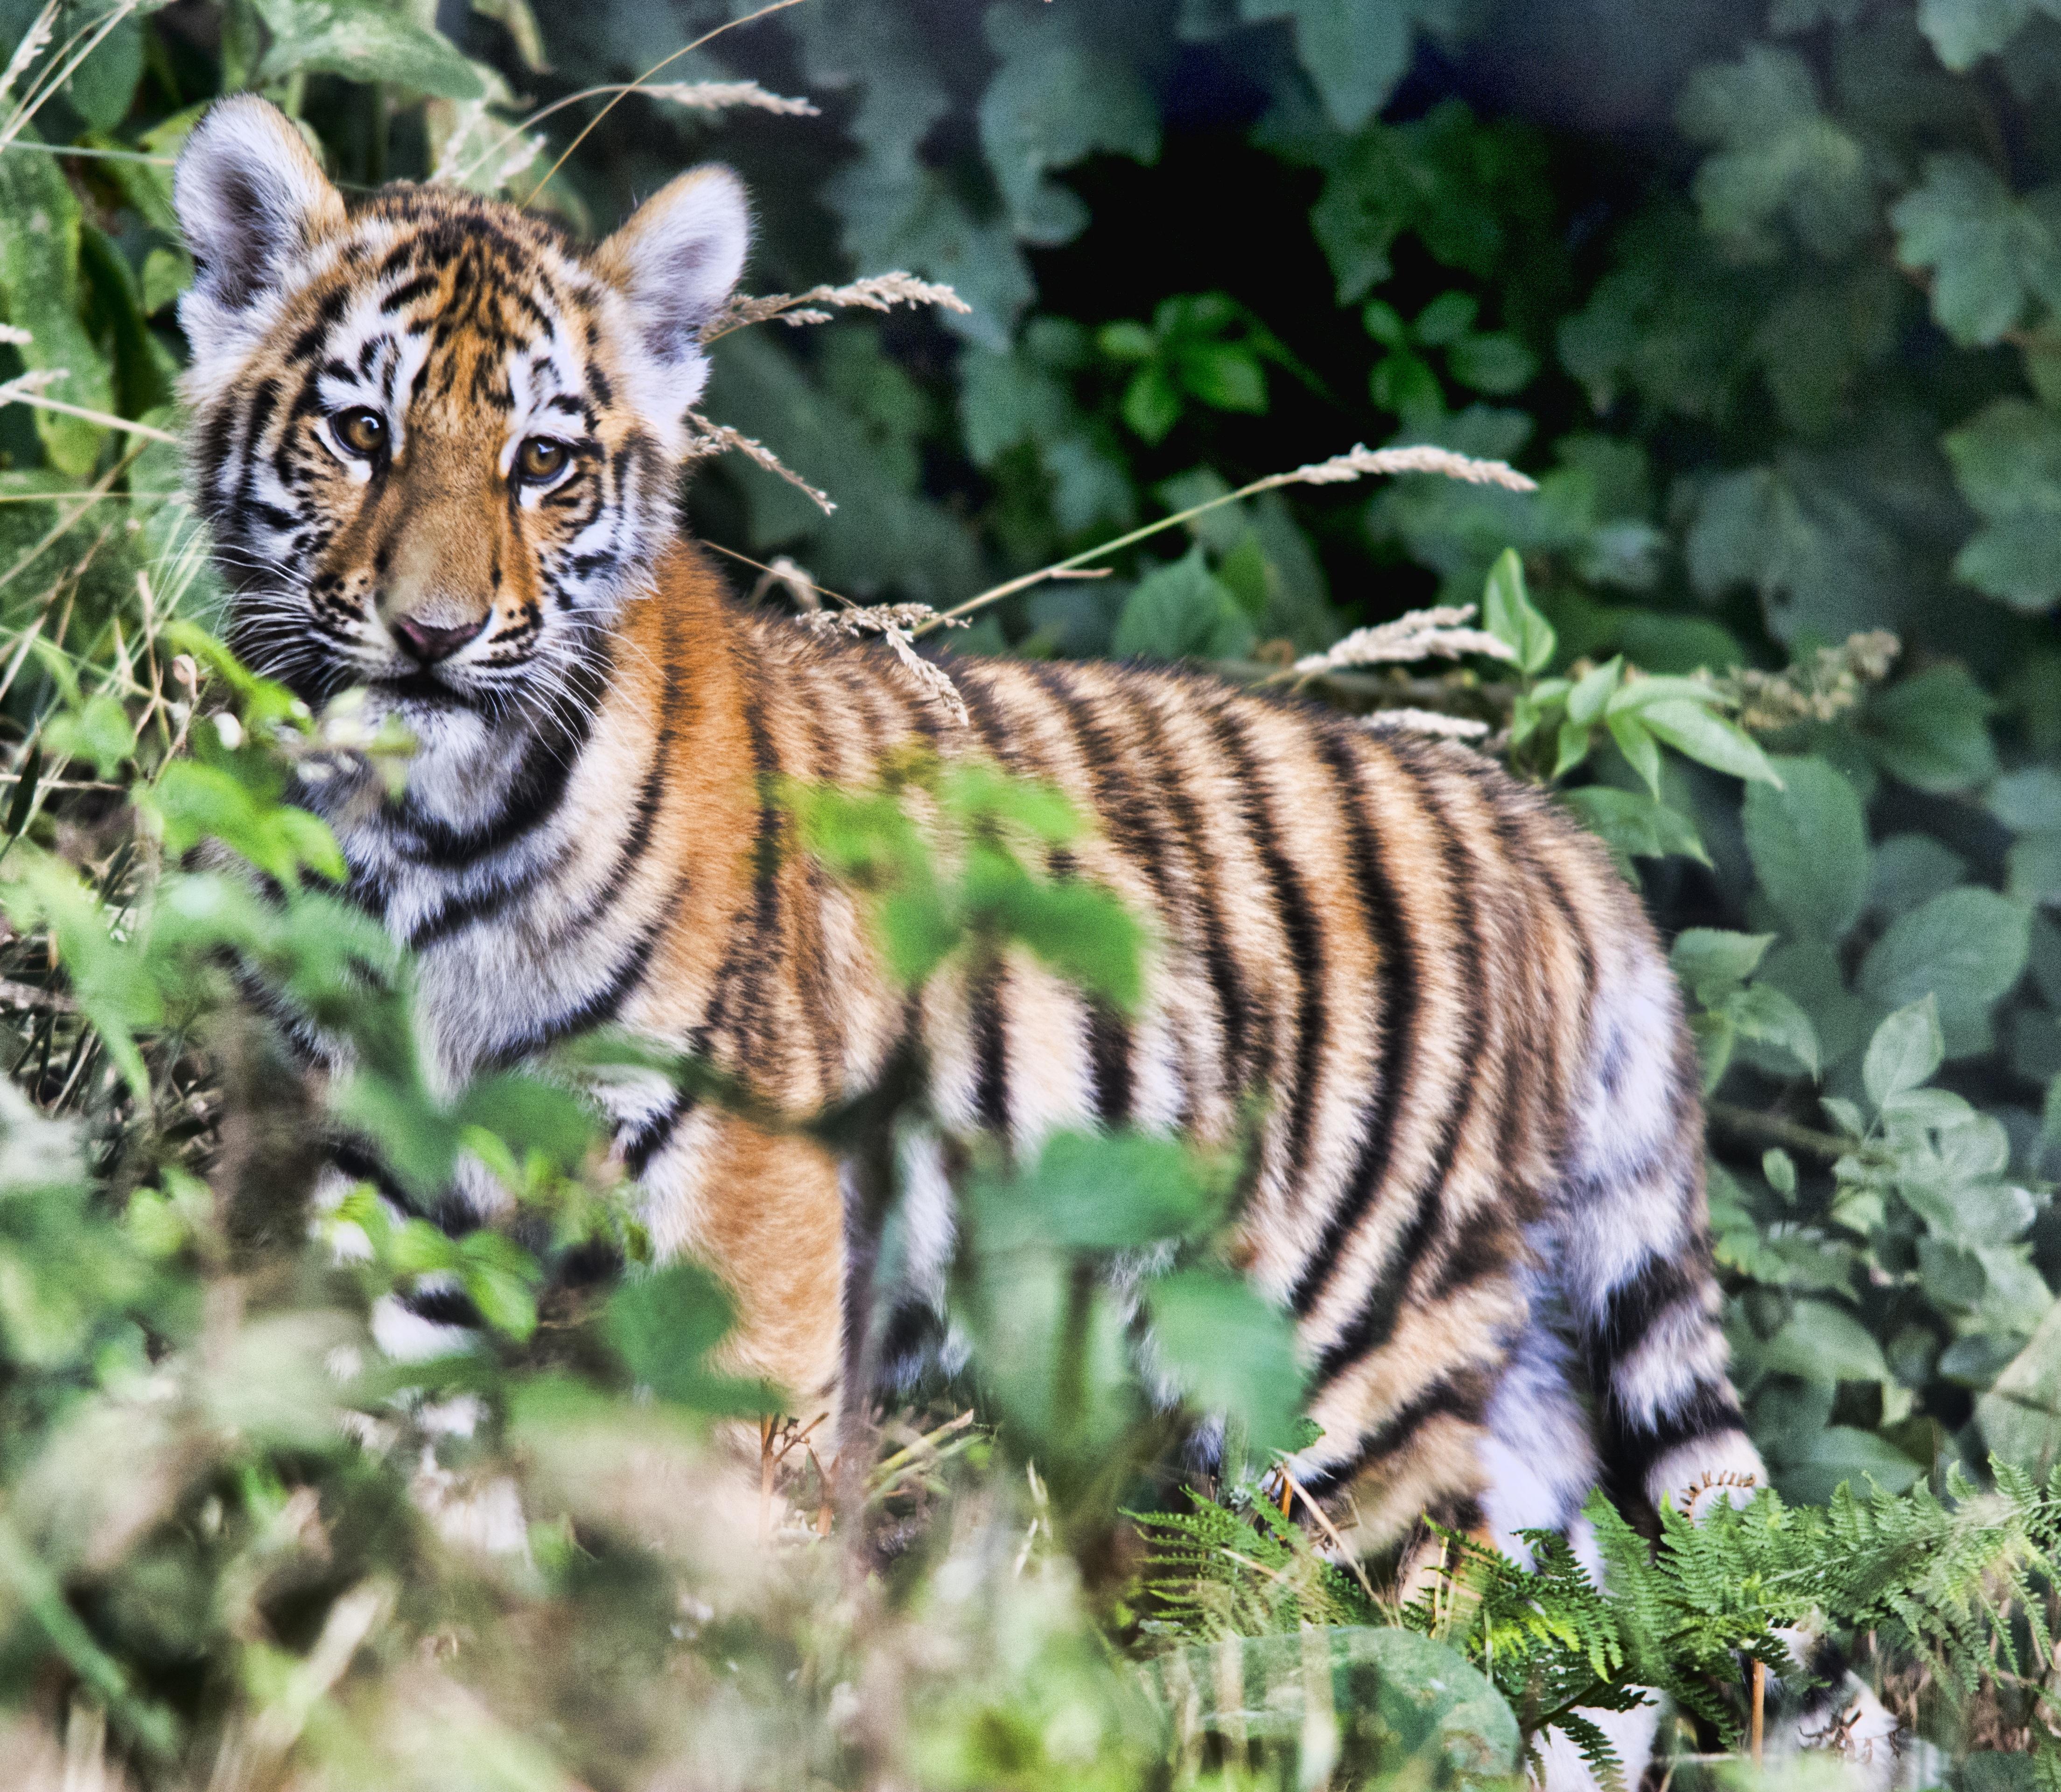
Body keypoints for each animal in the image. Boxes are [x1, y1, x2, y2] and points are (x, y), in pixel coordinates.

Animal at [169, 95, 1896, 1783]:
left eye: (543, 462)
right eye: (364, 430)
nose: (434, 632)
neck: (418, 822)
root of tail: (1553, 838)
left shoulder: (745, 1172)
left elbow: (724, 1486)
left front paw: (703, 1694)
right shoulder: (383, 1156)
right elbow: (381, 1444)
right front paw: (371, 1676)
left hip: (1342, 1359)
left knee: (1452, 1629)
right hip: (1491, 1358)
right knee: (1581, 1641)